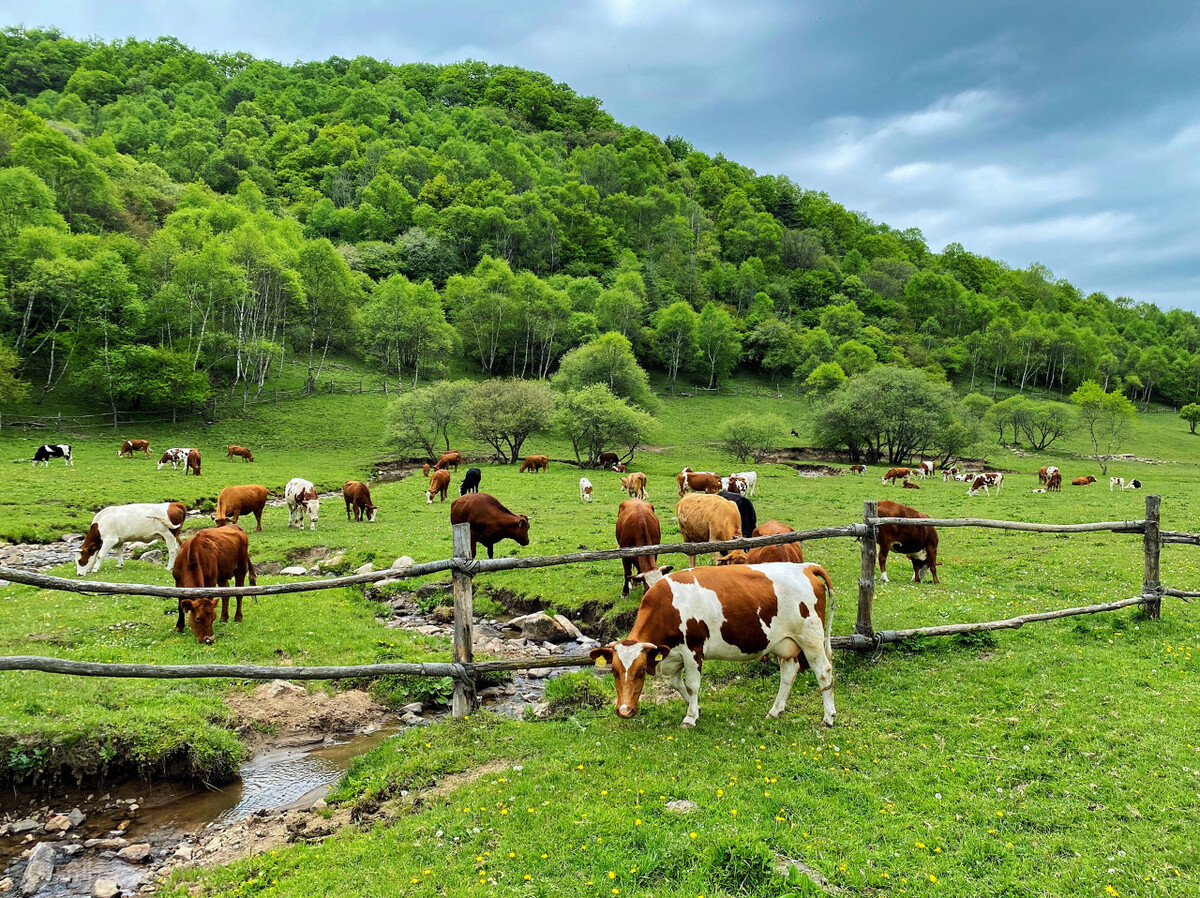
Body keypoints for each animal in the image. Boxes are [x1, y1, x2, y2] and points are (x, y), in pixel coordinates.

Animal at [588, 569, 835, 729]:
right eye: (614, 671)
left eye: (640, 671)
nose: (624, 711)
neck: (667, 606)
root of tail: (805, 567)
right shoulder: (672, 655)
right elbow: (678, 685)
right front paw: (696, 709)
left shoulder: (692, 650)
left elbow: (692, 685)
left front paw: (690, 718)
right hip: (785, 643)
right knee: (788, 674)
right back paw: (775, 711)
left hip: (811, 639)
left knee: (824, 673)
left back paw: (828, 717)